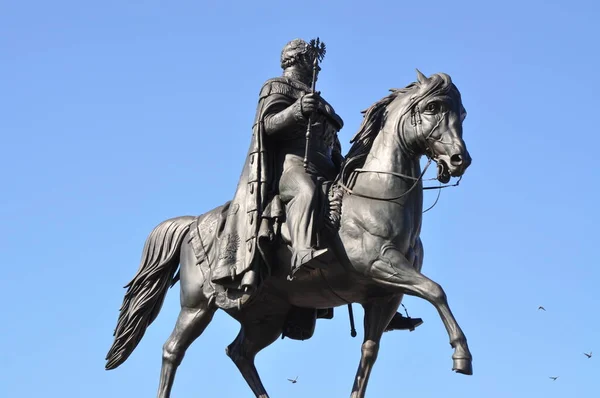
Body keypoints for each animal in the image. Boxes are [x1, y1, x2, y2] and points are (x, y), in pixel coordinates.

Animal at [105, 70, 476, 398]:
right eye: (432, 107)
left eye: (461, 113)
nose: (460, 159)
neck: (374, 195)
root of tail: (193, 221)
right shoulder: (379, 265)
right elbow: (436, 290)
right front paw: (462, 356)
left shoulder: (384, 295)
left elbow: (370, 351)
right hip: (197, 305)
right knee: (173, 349)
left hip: (267, 316)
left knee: (240, 353)